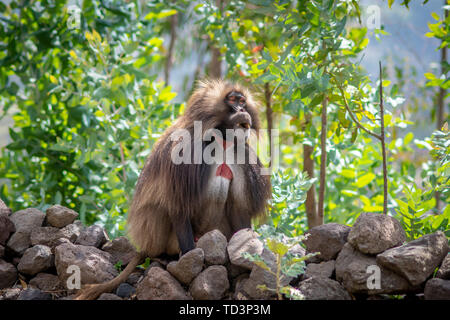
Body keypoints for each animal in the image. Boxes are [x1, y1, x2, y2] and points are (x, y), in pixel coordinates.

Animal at [75, 80, 270, 300]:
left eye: (243, 101)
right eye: (233, 100)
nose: (242, 110)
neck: (220, 140)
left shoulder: (241, 155)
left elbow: (239, 209)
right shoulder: (187, 150)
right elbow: (178, 207)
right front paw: (191, 263)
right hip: (163, 239)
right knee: (159, 207)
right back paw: (163, 258)